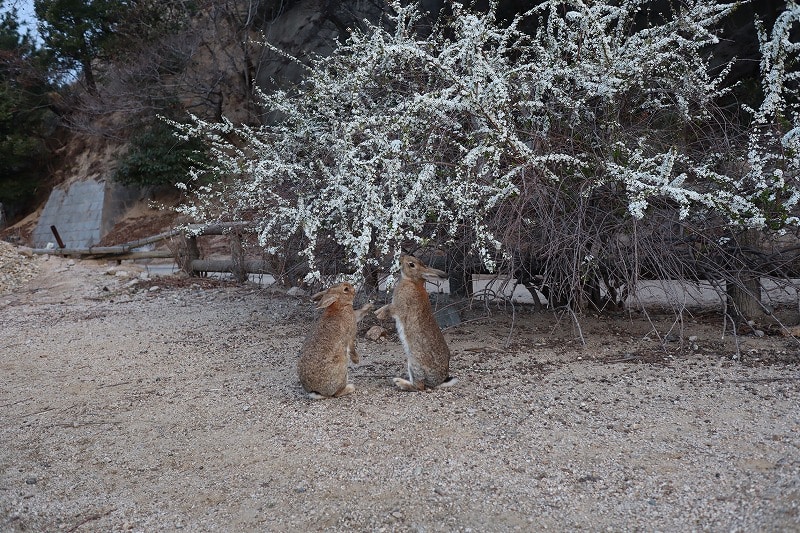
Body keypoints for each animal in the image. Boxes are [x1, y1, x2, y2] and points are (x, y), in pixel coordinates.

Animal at [376, 254, 456, 390]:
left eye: (411, 264)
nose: (401, 258)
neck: (412, 282)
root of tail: (438, 382)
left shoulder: (398, 307)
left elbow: (389, 309)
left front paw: (379, 316)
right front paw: (376, 312)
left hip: (414, 363)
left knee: (419, 386)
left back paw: (400, 382)